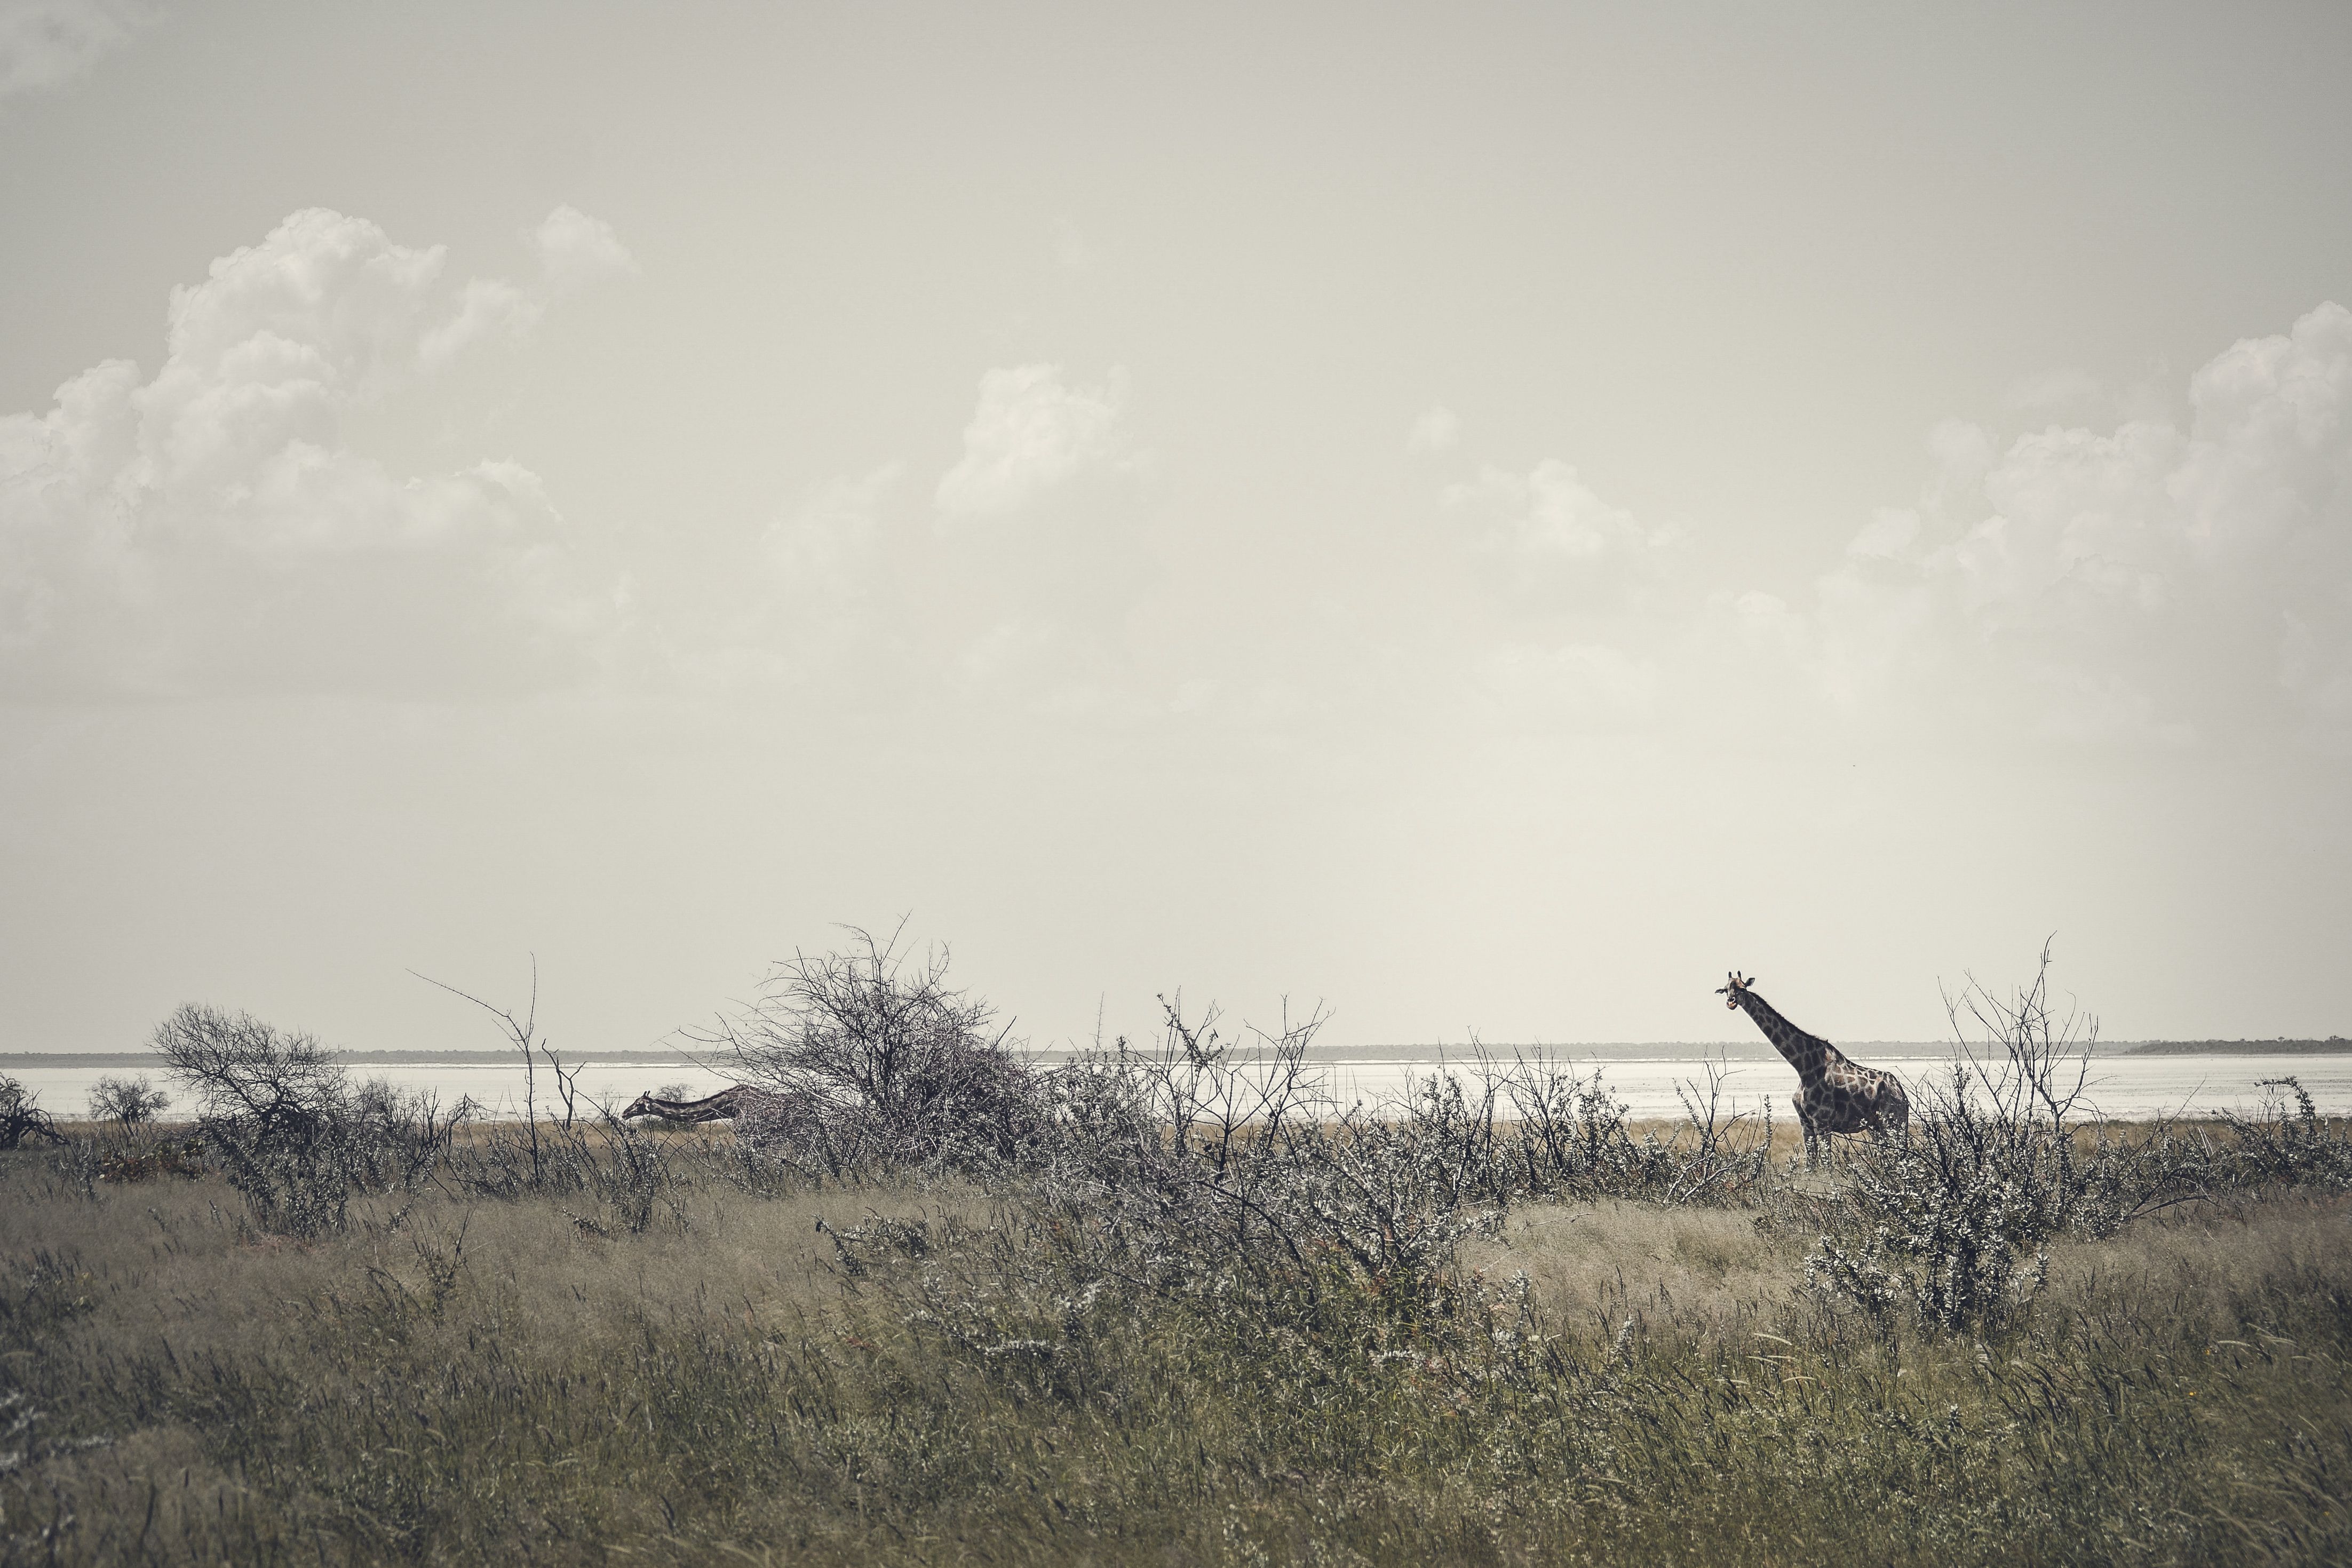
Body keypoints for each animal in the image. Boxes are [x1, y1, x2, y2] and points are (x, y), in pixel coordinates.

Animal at [1717, 972, 1909, 1167]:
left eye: (1742, 989)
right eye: (1725, 989)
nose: (1731, 1002)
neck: (1803, 1067)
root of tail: (1901, 1092)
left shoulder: (1822, 1123)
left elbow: (1826, 1165)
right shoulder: (1805, 1123)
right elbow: (1811, 1165)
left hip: (1894, 1120)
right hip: (1876, 1126)